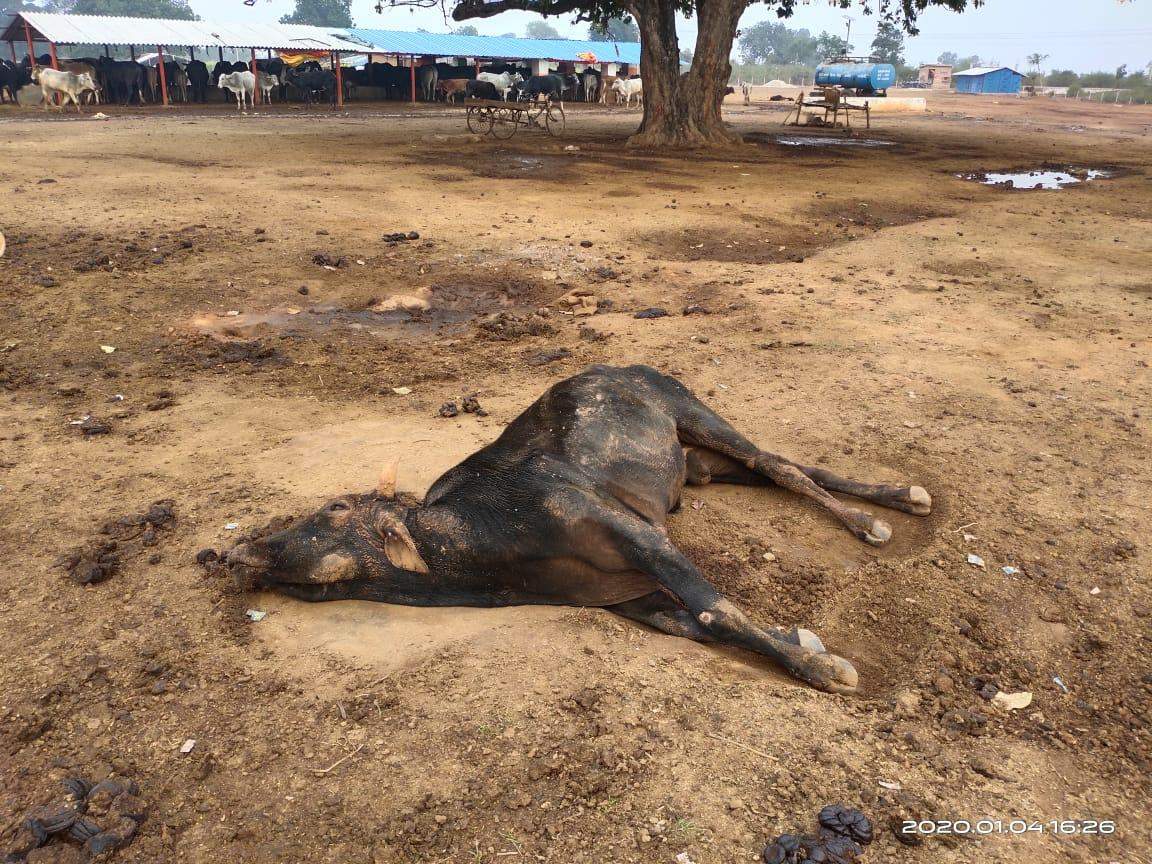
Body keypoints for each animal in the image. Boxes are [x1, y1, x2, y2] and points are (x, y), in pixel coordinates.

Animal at [224, 366, 935, 695]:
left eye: (333, 511)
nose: (228, 553)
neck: (484, 552)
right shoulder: (628, 597)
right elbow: (688, 623)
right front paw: (798, 640)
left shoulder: (640, 537)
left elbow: (714, 609)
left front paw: (821, 666)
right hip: (699, 465)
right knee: (785, 467)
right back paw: (895, 497)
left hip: (695, 412)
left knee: (779, 464)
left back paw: (874, 519)